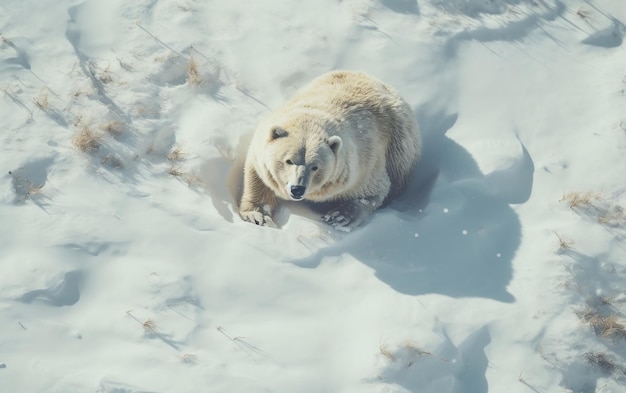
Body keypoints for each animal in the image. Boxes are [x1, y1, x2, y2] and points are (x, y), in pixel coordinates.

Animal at [238, 70, 420, 230]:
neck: (312, 117)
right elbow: (260, 180)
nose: (297, 189)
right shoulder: (261, 150)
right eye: (288, 160)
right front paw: (258, 216)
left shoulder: (360, 167)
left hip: (400, 144)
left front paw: (339, 216)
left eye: (315, 167)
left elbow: (373, 191)